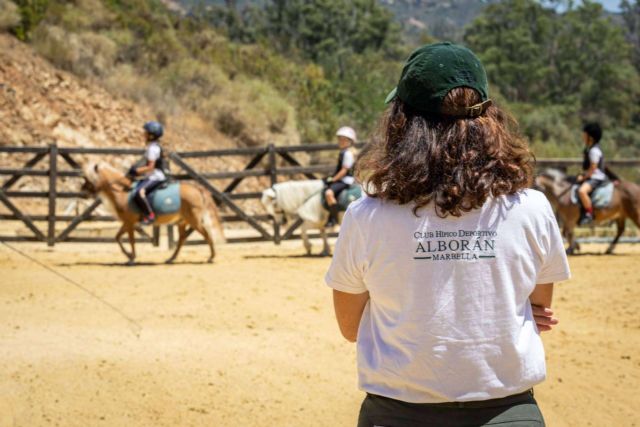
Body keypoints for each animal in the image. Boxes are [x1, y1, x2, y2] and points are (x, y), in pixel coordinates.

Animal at [82, 162, 225, 264]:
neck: (123, 191)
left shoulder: (130, 223)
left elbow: (131, 240)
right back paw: (171, 259)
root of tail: (196, 188)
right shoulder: (128, 222)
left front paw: (132, 258)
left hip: (194, 221)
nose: (83, 192)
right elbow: (117, 237)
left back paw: (211, 257)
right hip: (182, 222)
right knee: (182, 239)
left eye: (89, 178)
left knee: (206, 234)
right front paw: (129, 256)